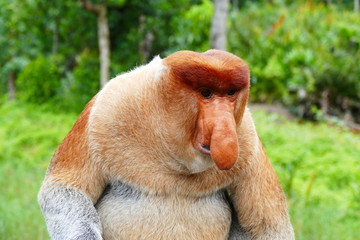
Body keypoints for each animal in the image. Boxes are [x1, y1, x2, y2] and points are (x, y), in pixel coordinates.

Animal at [38, 49, 294, 239]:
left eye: (230, 93)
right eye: (206, 93)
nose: (223, 128)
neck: (173, 155)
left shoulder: (247, 138)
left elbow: (268, 225)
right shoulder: (104, 110)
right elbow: (64, 190)